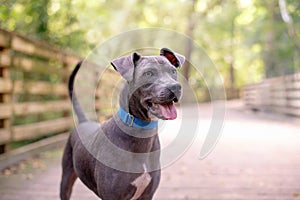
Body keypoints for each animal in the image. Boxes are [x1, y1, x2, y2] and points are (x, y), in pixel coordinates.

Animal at [59, 47, 184, 199]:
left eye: (173, 71)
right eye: (148, 73)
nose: (175, 87)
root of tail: (84, 122)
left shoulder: (147, 195)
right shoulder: (112, 195)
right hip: (66, 179)